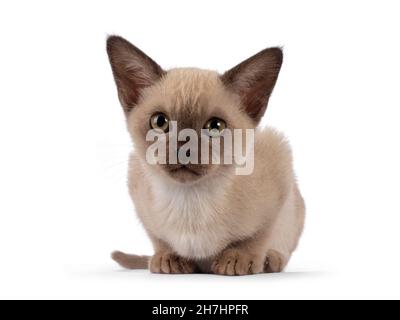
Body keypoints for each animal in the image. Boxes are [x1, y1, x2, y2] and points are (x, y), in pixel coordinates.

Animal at [104, 35, 304, 276]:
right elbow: (159, 238)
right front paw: (168, 257)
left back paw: (270, 260)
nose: (184, 148)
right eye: (159, 122)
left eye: (215, 126)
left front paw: (238, 258)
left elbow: (258, 235)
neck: (189, 200)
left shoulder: (280, 168)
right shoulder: (136, 183)